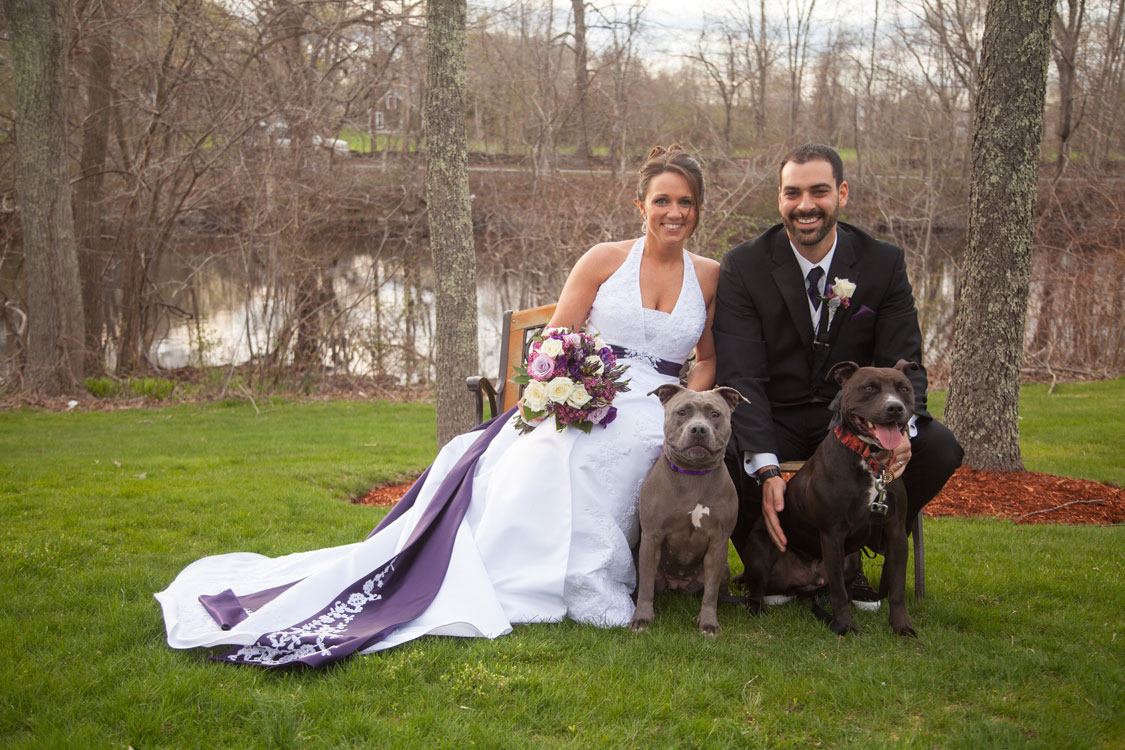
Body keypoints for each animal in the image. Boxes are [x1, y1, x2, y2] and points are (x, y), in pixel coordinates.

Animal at [631, 384, 744, 635]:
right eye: (682, 412)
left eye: (715, 414)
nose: (699, 429)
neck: (694, 475)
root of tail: (679, 585)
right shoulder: (652, 538)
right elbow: (645, 587)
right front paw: (641, 619)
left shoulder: (718, 542)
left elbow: (710, 592)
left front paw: (708, 622)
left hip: (724, 568)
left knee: (717, 590)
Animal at [742, 360, 918, 637]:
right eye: (869, 388)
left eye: (903, 388)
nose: (894, 407)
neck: (869, 460)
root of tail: (807, 579)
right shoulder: (832, 534)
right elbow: (838, 591)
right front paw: (844, 626)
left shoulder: (896, 533)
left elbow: (897, 588)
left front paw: (901, 626)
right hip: (761, 552)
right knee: (757, 589)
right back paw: (757, 608)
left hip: (851, 560)